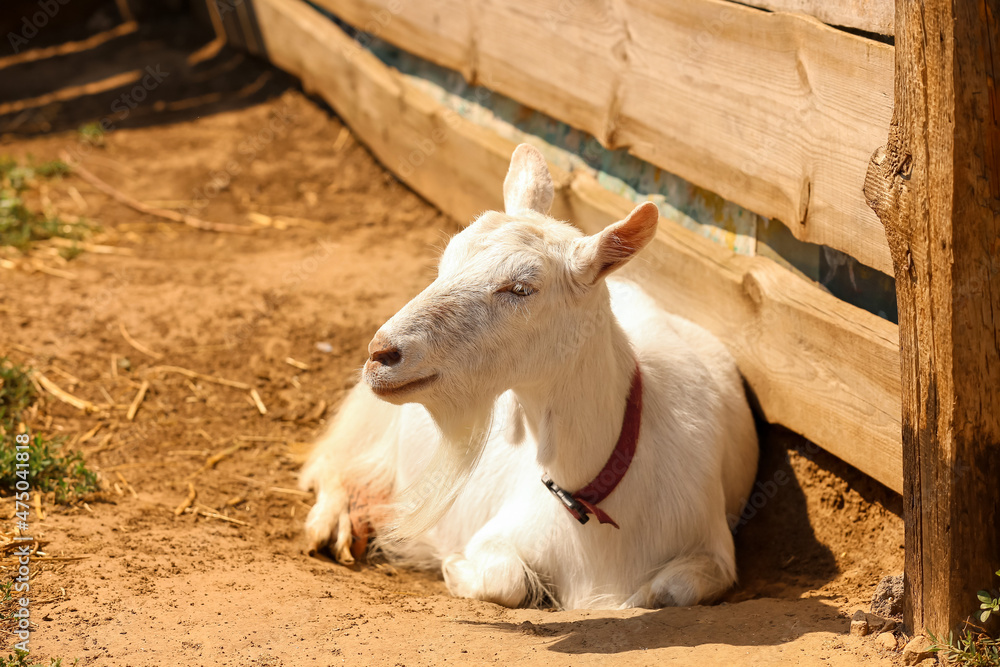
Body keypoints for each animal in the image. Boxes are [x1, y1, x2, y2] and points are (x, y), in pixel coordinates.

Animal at [300, 144, 759, 609]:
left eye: (521, 289)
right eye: (444, 264)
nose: (381, 353)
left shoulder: (711, 546)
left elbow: (667, 592)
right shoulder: (502, 531)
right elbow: (506, 579)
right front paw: (453, 567)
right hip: (376, 421)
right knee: (334, 459)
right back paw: (333, 523)